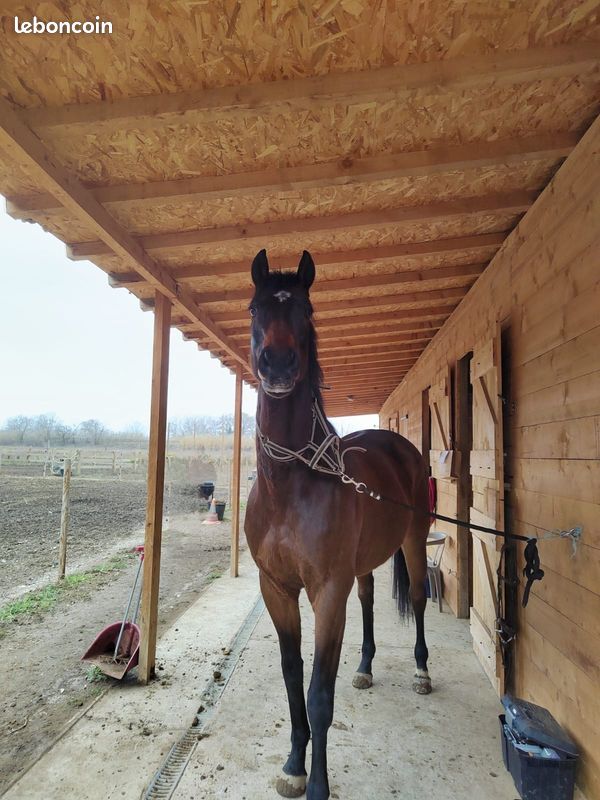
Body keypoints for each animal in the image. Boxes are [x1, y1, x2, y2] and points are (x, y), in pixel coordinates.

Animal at [244, 249, 431, 800]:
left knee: (418, 598)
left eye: (306, 310)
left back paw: (421, 670)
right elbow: (292, 678)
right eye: (254, 308)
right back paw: (366, 666)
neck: (289, 486)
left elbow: (319, 693)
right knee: (368, 600)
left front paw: (318, 784)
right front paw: (293, 765)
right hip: (363, 566)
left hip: (413, 543)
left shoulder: (327, 592)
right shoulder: (277, 588)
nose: (278, 364)